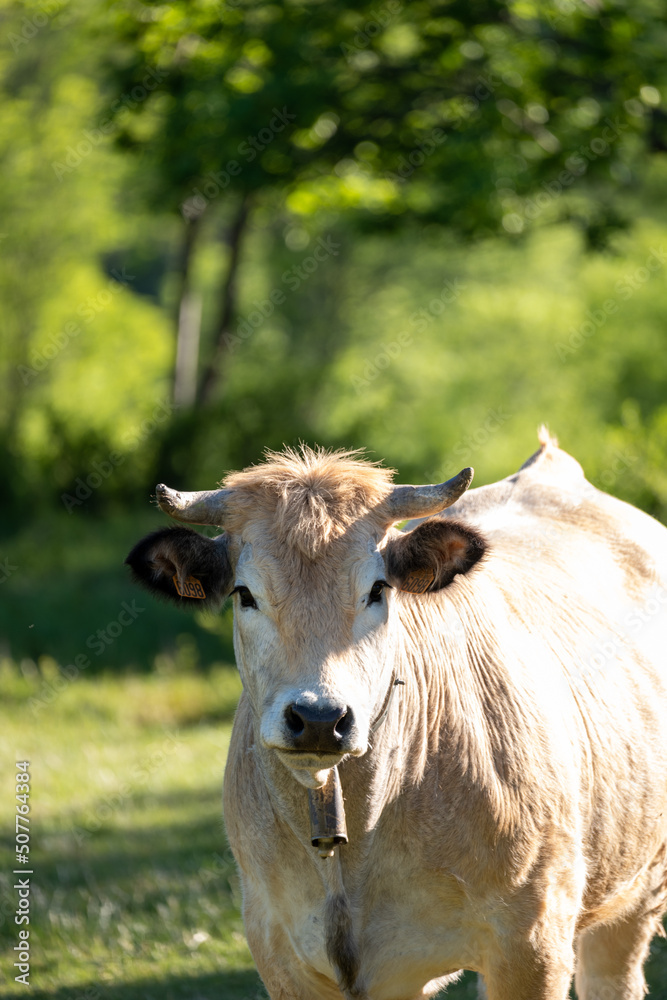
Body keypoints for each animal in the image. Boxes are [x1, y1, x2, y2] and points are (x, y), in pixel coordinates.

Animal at [126, 432, 667, 1000]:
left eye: (378, 589)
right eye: (244, 593)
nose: (318, 717)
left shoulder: (532, 942)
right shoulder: (280, 949)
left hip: (637, 889)